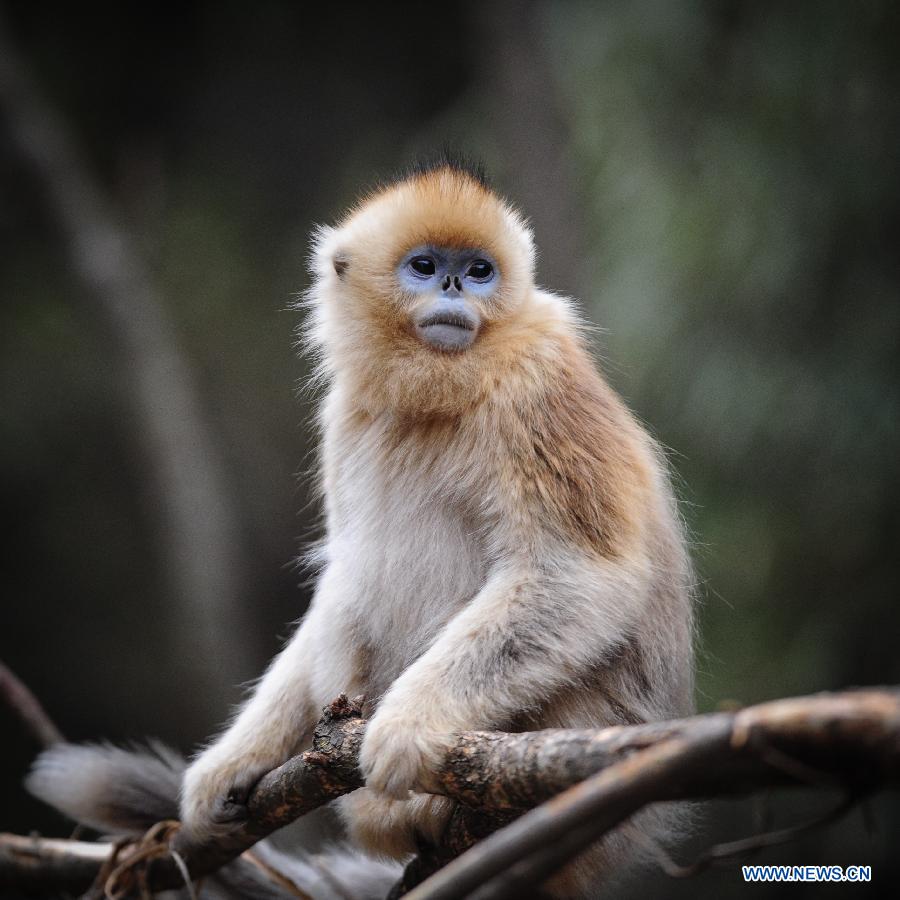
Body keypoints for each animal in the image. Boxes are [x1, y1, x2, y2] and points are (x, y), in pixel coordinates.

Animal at [28, 158, 694, 898]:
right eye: (425, 267)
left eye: (479, 271)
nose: (455, 286)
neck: (443, 382)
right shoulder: (347, 413)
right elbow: (339, 574)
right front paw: (237, 759)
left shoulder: (537, 381)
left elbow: (580, 572)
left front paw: (407, 724)